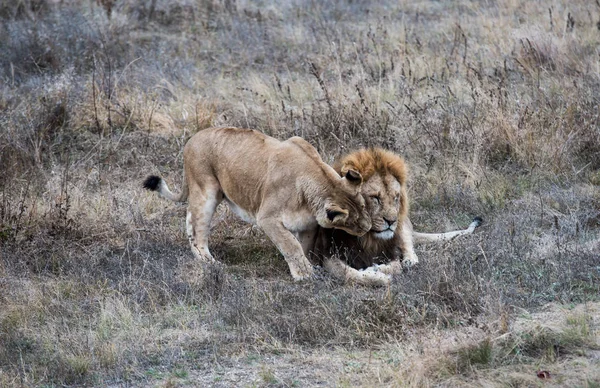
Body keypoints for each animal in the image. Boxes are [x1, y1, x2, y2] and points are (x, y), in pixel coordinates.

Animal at [144, 127, 370, 282]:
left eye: (364, 206)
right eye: (352, 222)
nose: (368, 228)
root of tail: (192, 138)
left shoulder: (308, 224)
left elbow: (302, 246)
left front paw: (308, 267)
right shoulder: (267, 218)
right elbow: (290, 245)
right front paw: (304, 275)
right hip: (205, 190)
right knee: (197, 226)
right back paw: (209, 262)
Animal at [310, 147, 482, 286]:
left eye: (395, 197)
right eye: (375, 198)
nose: (391, 221)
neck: (368, 239)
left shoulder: (391, 252)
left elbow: (396, 267)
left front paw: (378, 269)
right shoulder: (328, 256)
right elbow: (347, 273)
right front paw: (378, 277)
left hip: (403, 224)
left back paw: (410, 261)